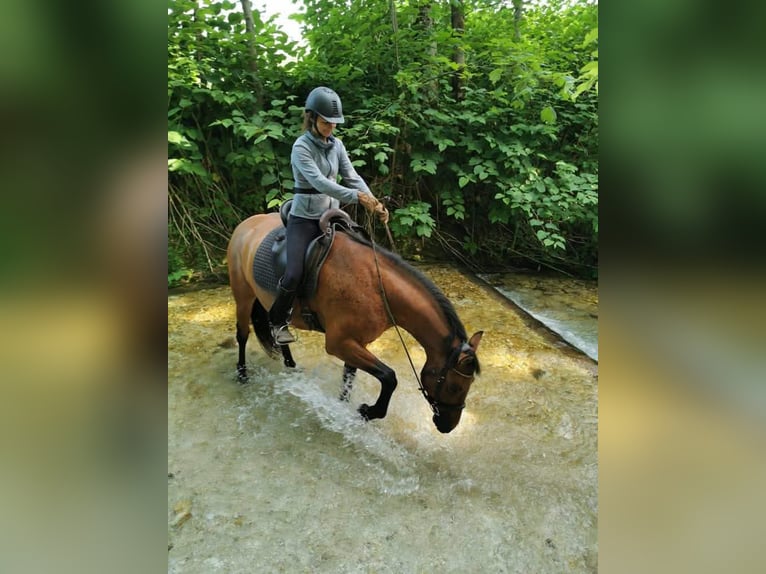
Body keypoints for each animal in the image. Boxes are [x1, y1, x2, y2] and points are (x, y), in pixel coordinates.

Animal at [226, 209, 483, 433]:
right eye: (454, 386)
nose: (448, 426)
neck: (377, 287)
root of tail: (245, 225)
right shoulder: (339, 343)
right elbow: (389, 377)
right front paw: (368, 411)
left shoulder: (356, 342)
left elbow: (349, 378)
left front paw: (343, 407)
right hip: (243, 295)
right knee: (242, 334)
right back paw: (242, 374)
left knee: (277, 329)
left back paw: (290, 365)